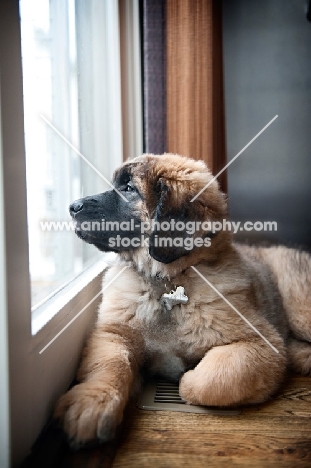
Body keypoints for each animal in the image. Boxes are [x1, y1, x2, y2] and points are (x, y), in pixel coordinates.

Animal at [54, 154, 311, 450]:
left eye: (129, 189)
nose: (73, 206)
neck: (165, 282)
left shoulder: (259, 343)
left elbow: (210, 379)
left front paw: (186, 378)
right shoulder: (112, 332)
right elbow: (109, 363)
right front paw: (92, 403)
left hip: (300, 309)